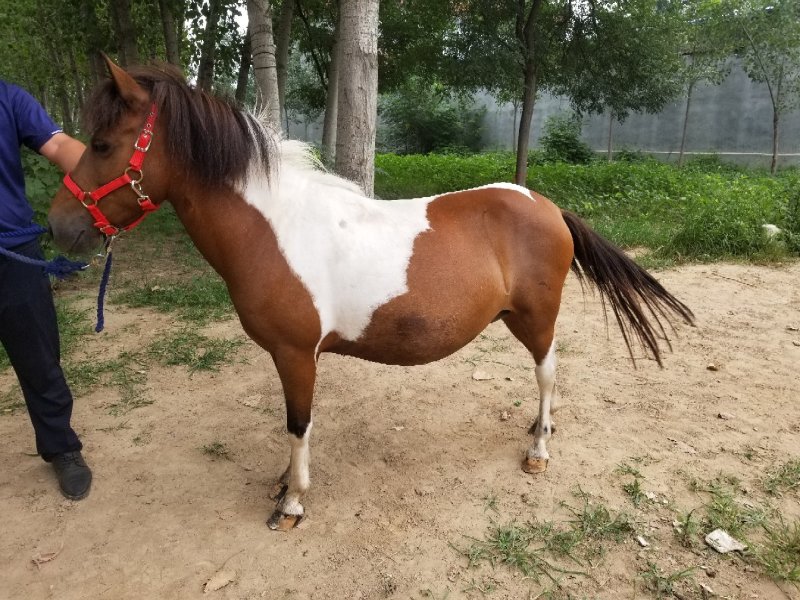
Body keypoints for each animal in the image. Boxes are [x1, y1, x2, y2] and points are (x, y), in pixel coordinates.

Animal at [48, 58, 694, 530]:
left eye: (102, 144)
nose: (61, 227)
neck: (277, 228)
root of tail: (547, 205)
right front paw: (283, 484)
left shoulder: (296, 355)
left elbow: (298, 424)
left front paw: (292, 503)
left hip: (535, 319)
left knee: (547, 374)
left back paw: (538, 450)